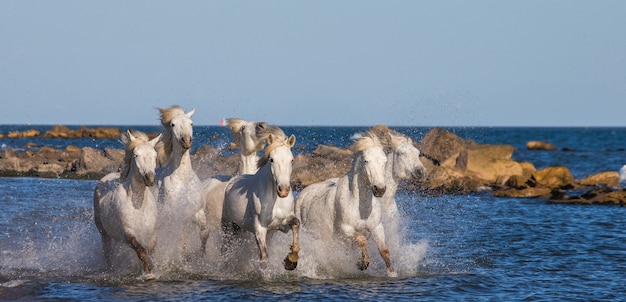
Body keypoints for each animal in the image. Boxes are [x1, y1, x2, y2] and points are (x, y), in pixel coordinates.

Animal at [94, 129, 161, 280]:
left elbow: (152, 252)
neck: (138, 204)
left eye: (154, 155)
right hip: (103, 232)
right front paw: (148, 274)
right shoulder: (128, 233)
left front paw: (155, 269)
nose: (150, 178)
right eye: (136, 155)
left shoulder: (152, 234)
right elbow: (141, 251)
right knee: (107, 251)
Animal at [219, 133, 300, 270]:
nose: (283, 190)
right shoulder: (260, 228)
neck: (275, 200)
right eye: (272, 159)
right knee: (225, 250)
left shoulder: (282, 224)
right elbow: (264, 259)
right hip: (228, 226)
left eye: (292, 160)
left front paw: (291, 260)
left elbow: (295, 222)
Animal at [294, 131, 398, 278]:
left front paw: (392, 273)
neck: (360, 207)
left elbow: (384, 250)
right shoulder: (345, 229)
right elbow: (362, 239)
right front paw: (363, 262)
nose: (380, 189)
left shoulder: (377, 228)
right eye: (366, 161)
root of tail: (303, 194)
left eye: (384, 161)